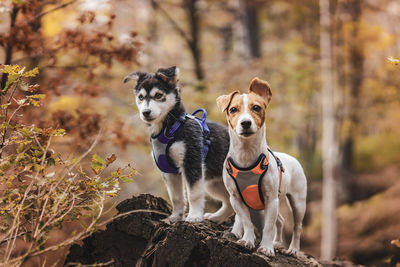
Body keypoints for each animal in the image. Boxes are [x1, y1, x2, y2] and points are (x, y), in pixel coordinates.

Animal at [123, 67, 233, 224]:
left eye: (158, 95)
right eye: (141, 97)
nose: (145, 112)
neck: (169, 129)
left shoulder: (191, 163)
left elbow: (193, 194)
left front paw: (194, 216)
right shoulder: (169, 171)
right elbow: (176, 197)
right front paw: (175, 217)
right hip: (214, 183)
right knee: (230, 202)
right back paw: (217, 217)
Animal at [216, 77, 306, 258]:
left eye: (256, 107)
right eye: (233, 109)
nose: (245, 123)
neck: (246, 155)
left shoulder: (271, 199)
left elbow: (268, 227)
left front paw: (266, 248)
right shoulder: (236, 198)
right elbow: (247, 222)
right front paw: (247, 240)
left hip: (298, 202)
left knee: (296, 226)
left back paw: (293, 249)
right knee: (280, 221)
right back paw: (276, 242)